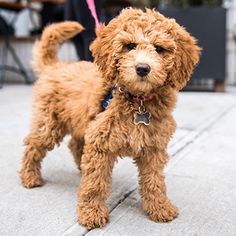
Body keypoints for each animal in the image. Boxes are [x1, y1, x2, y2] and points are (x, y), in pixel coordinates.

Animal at [20, 8, 200, 230]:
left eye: (159, 49)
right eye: (130, 46)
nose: (142, 68)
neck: (137, 101)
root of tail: (55, 66)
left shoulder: (153, 148)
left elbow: (154, 181)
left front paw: (160, 207)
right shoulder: (100, 143)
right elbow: (95, 183)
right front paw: (91, 213)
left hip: (83, 123)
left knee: (75, 144)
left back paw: (79, 169)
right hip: (50, 124)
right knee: (33, 145)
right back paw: (29, 176)